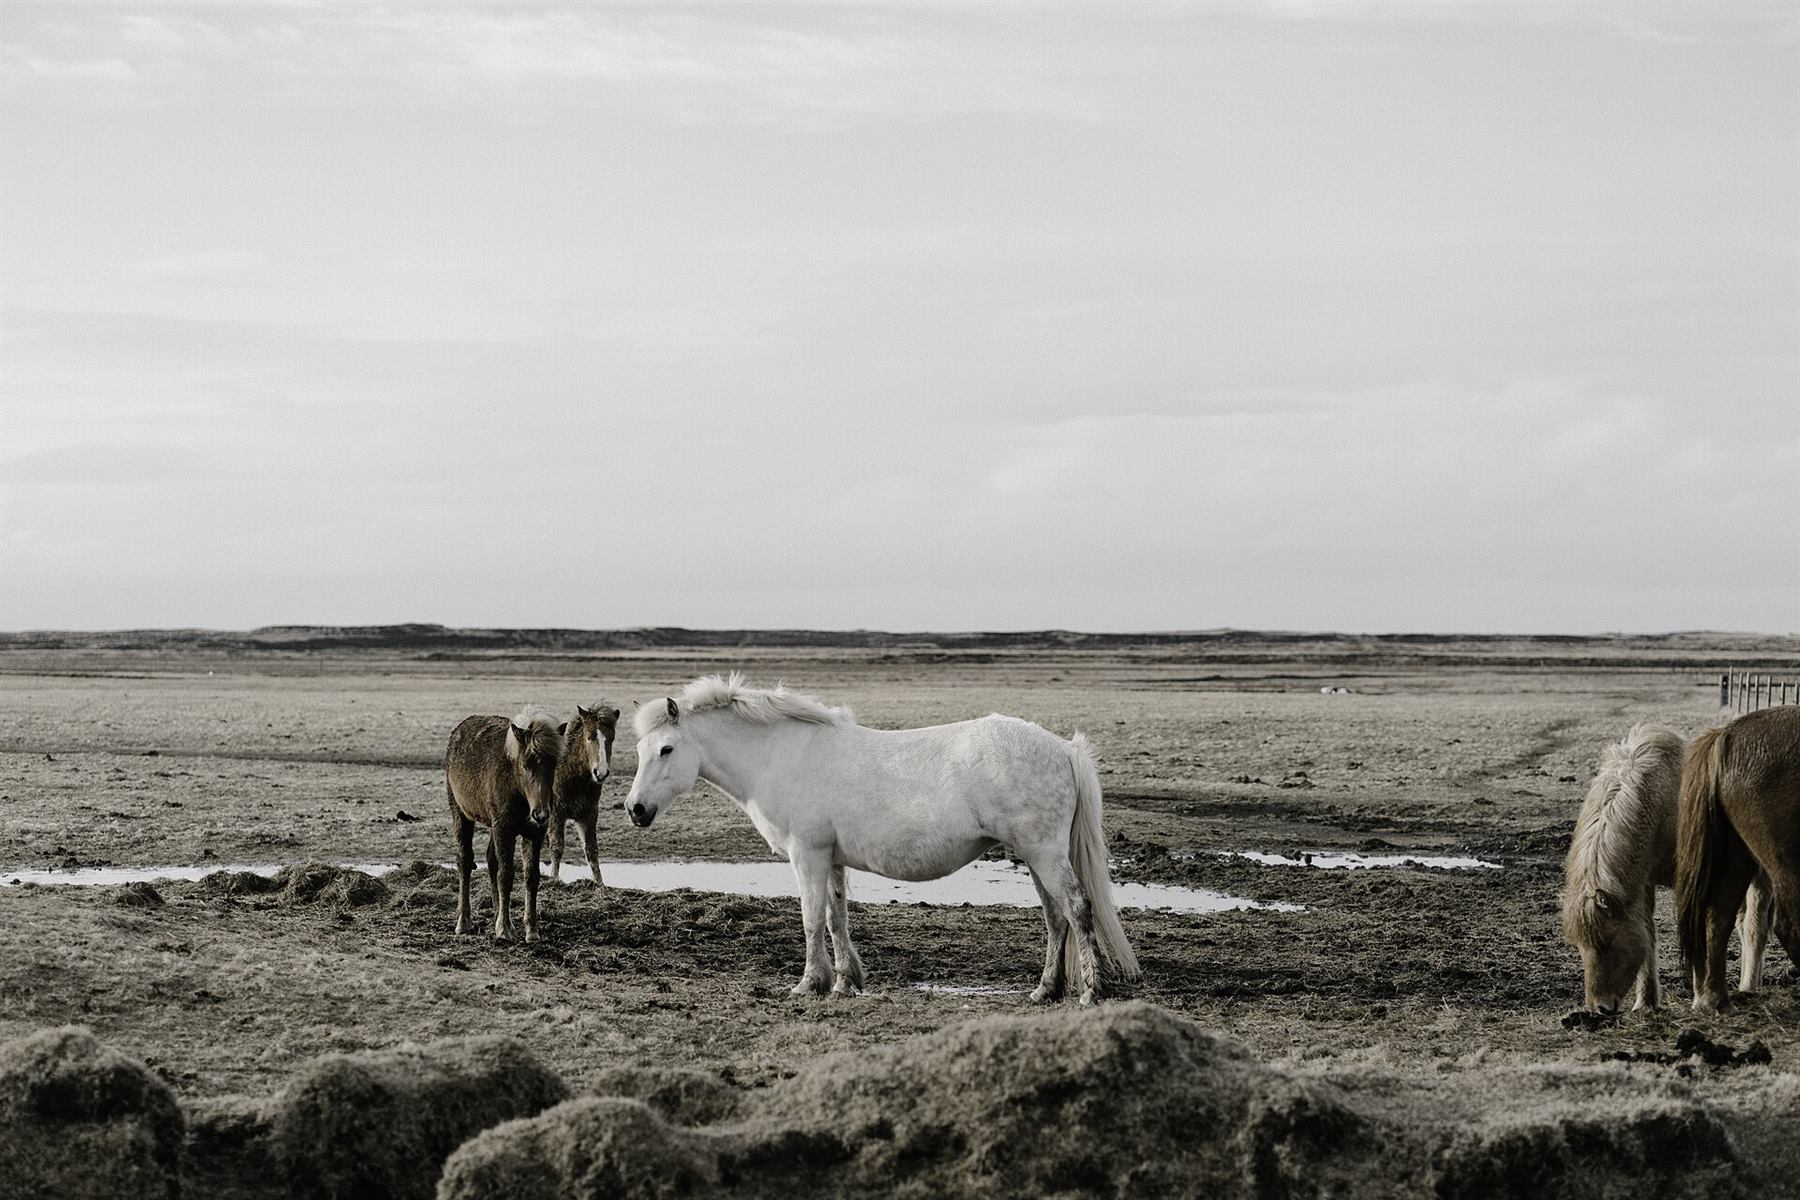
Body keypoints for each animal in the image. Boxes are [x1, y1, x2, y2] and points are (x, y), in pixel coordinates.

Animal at [445, 708, 565, 943]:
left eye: (553, 765)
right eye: (526, 764)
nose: (541, 814)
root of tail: (458, 731)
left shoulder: (533, 833)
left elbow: (531, 876)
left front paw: (531, 930)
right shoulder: (504, 829)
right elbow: (506, 875)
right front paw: (504, 929)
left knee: (491, 859)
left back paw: (496, 914)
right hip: (461, 813)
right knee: (465, 860)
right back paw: (464, 921)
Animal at [547, 703, 620, 884]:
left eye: (612, 738)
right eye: (588, 737)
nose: (601, 773)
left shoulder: (588, 813)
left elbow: (591, 850)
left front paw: (600, 884)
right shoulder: (556, 813)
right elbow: (557, 847)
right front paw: (553, 879)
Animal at [622, 673, 1140, 1005]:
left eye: (667, 749)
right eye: (641, 749)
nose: (635, 810)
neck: (780, 755)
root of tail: (1064, 748)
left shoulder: (806, 855)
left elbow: (811, 919)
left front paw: (809, 984)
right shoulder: (830, 859)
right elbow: (837, 918)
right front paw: (843, 982)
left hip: (1044, 853)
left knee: (1077, 909)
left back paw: (1089, 992)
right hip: (1034, 856)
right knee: (1056, 919)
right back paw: (1045, 990)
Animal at [1561, 725, 1771, 1015]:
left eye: (1607, 941)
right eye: (1580, 946)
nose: (1600, 1007)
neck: (1662, 803)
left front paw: (1700, 998)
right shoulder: (1643, 885)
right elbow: (1648, 935)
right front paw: (1646, 1002)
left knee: (1754, 926)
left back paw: (1749, 987)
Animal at [1676, 704, 1800, 1011]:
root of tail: (1728, 735)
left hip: (1739, 856)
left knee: (1718, 915)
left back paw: (1716, 999)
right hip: (1785, 861)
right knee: (1788, 924)